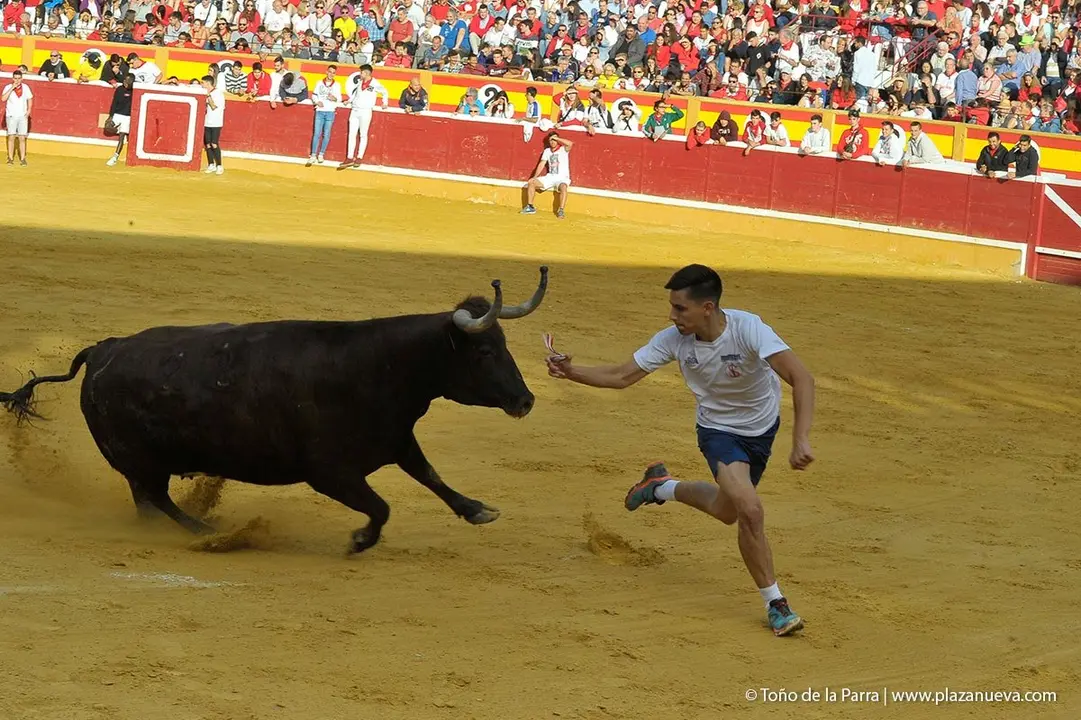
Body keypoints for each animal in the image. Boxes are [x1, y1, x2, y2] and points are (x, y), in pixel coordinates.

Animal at [0, 267, 548, 554]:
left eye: (504, 345)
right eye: (484, 352)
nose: (525, 400)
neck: (380, 366)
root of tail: (102, 350)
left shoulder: (395, 439)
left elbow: (430, 475)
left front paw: (478, 510)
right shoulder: (329, 472)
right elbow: (382, 506)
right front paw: (359, 539)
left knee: (148, 503)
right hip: (139, 460)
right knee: (156, 498)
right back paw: (210, 533)